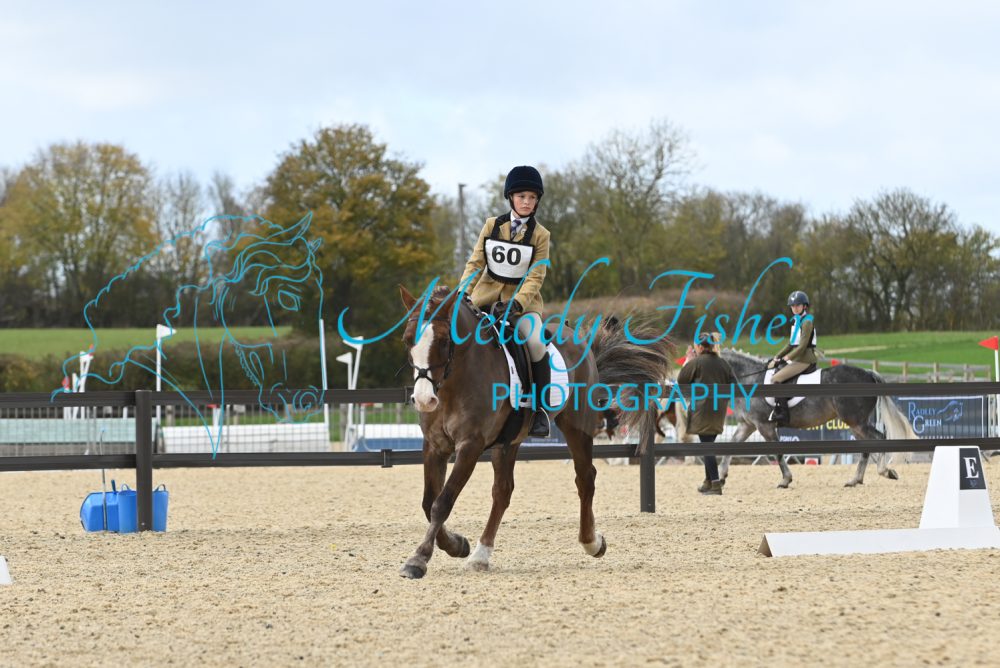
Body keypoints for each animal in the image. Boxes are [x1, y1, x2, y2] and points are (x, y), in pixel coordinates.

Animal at [397, 286, 673, 579]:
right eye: (407, 340)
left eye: (442, 341)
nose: (424, 400)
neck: (454, 382)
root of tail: (581, 342)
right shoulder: (435, 446)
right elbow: (429, 502)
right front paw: (457, 545)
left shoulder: (470, 446)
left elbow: (442, 502)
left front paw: (418, 559)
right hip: (508, 442)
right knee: (503, 492)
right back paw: (480, 555)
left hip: (577, 427)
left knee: (585, 478)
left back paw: (592, 542)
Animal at [714, 349, 918, 488]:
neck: (749, 380)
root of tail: (868, 373)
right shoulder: (747, 425)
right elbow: (731, 445)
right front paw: (721, 477)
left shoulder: (764, 425)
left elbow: (778, 452)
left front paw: (785, 480)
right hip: (856, 423)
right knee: (867, 446)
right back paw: (855, 480)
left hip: (855, 422)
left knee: (879, 438)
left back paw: (884, 471)